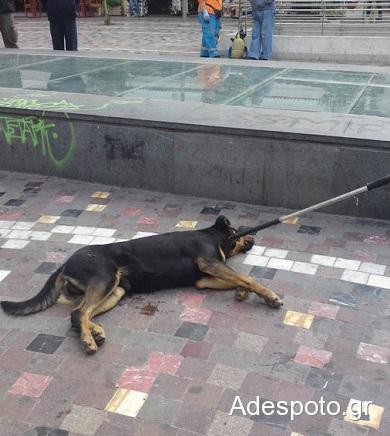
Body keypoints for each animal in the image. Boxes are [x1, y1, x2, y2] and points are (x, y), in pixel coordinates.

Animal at [2, 215, 284, 354]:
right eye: (240, 229)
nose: (254, 237)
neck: (213, 235)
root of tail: (65, 263)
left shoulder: (203, 278)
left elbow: (238, 280)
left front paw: (242, 290)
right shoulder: (209, 264)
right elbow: (248, 277)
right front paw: (269, 296)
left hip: (116, 290)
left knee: (78, 314)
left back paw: (95, 332)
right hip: (105, 279)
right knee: (80, 312)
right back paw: (88, 340)